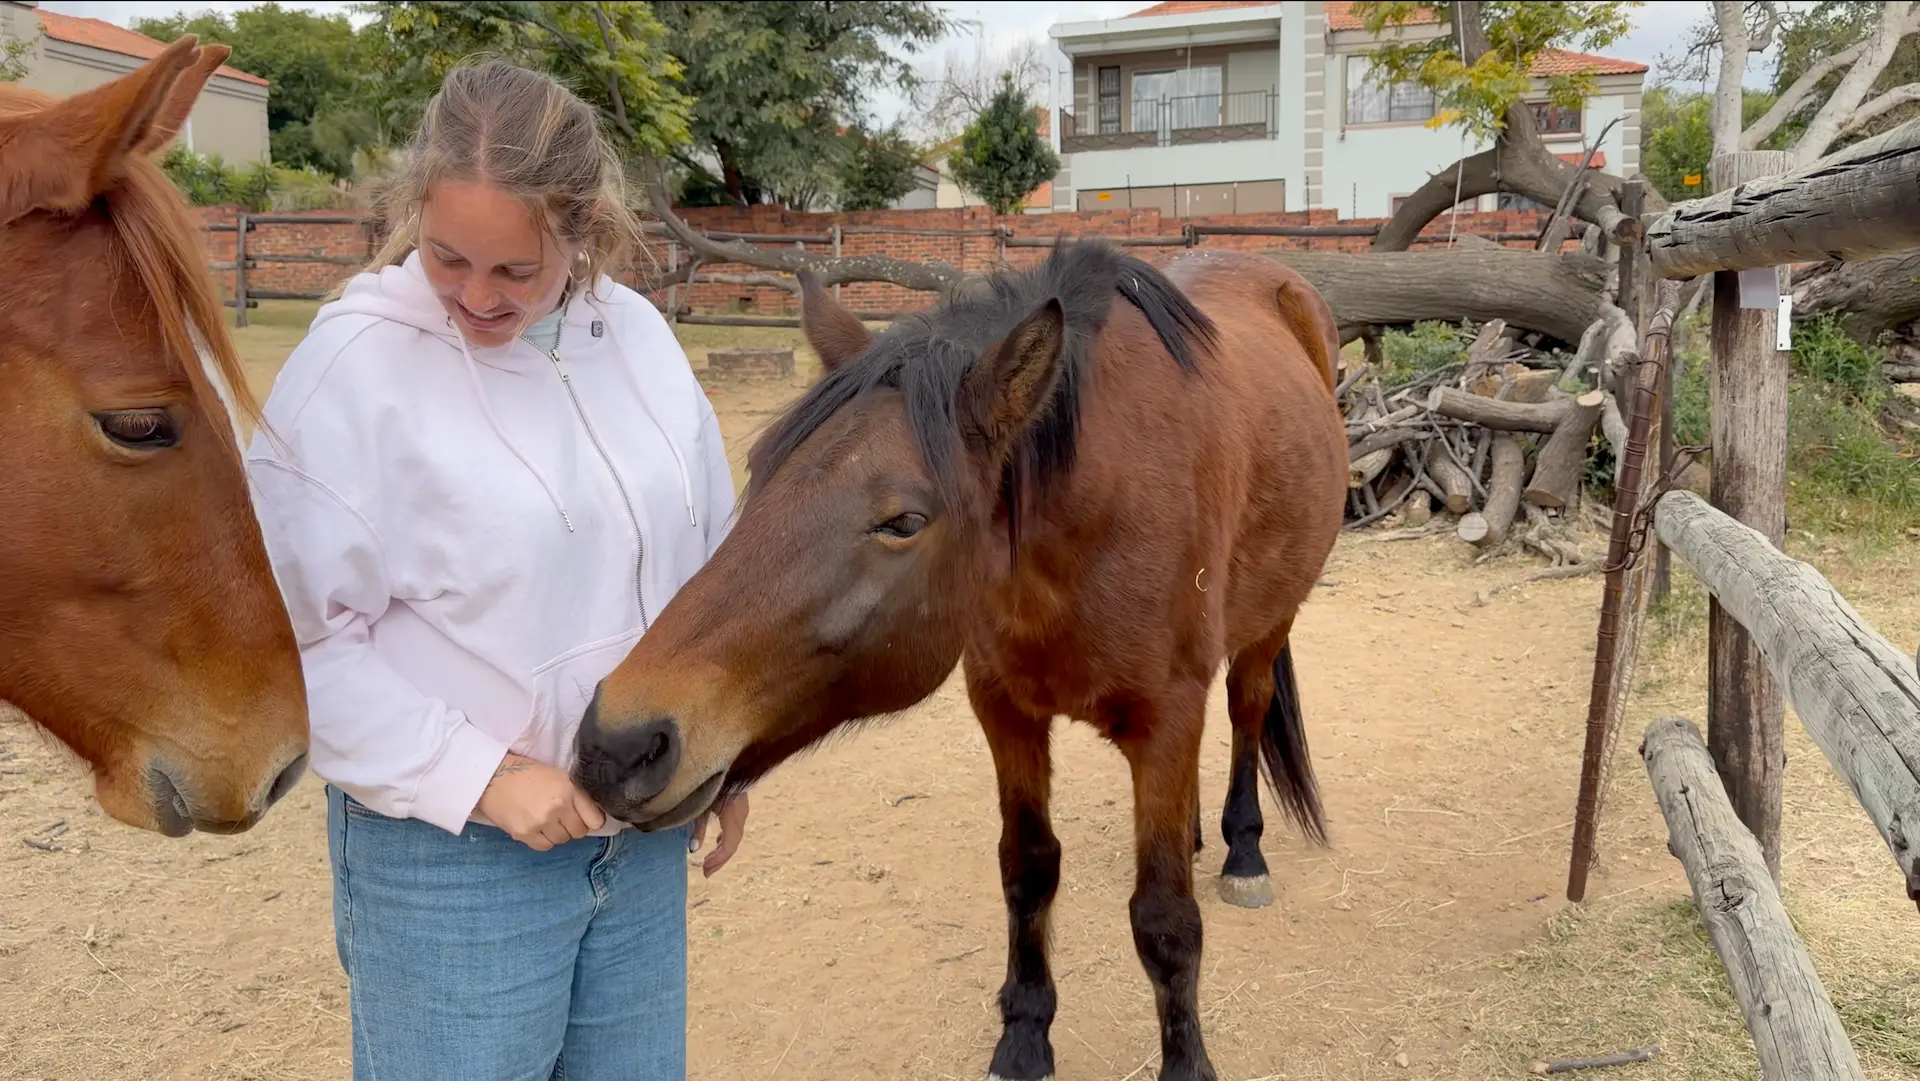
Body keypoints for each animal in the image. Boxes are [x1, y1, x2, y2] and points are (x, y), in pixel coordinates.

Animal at [575, 240, 1350, 1081]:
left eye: (904, 520)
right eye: (761, 469)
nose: (618, 743)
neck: (1101, 509)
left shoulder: (1166, 718)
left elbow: (1166, 918)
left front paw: (1184, 1062)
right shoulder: (1005, 711)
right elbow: (1028, 869)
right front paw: (1024, 1035)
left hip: (1269, 622)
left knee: (1247, 710)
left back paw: (1243, 849)